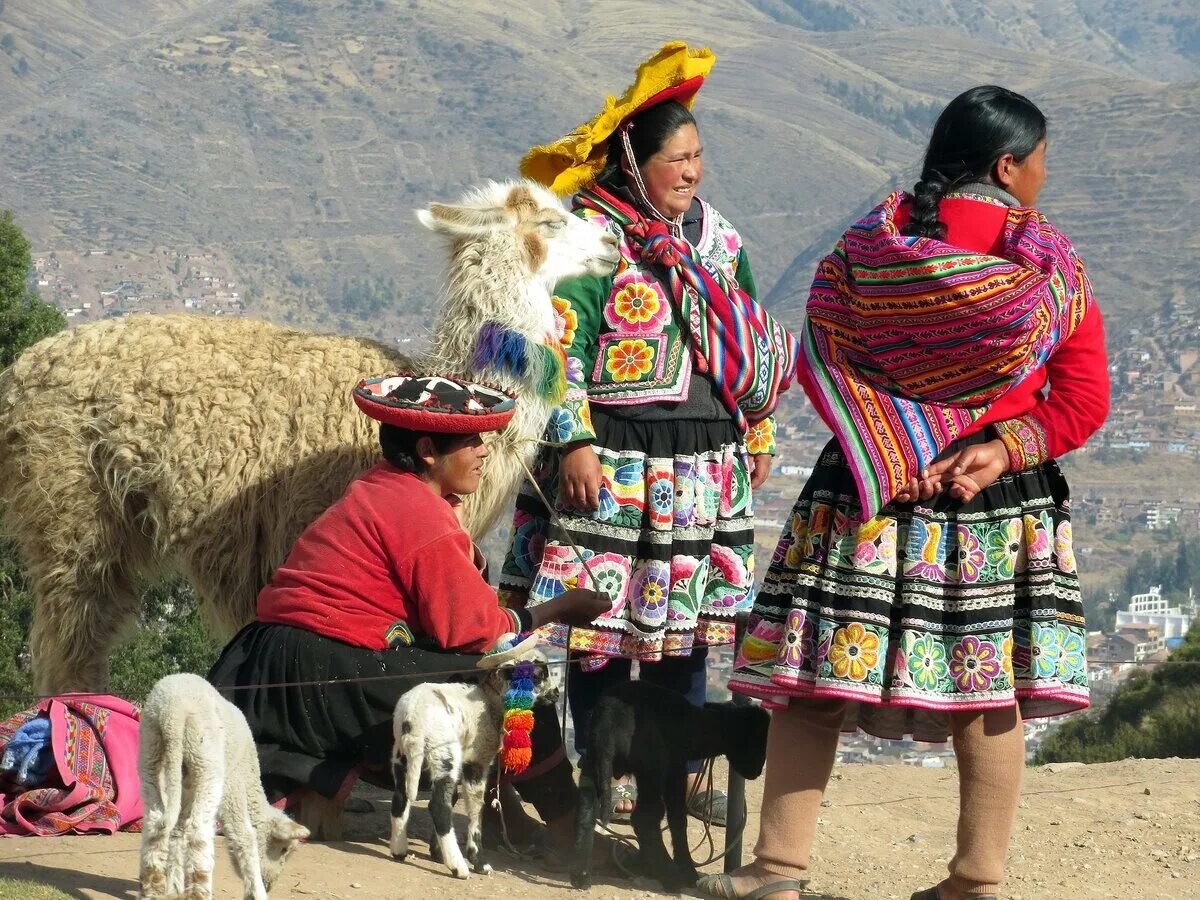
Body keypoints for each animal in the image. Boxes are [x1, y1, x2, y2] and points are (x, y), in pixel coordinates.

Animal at [571, 681, 768, 892]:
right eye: (758, 742)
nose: (756, 773)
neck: (697, 725)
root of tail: (608, 723)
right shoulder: (675, 767)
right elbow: (678, 818)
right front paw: (687, 871)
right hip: (652, 763)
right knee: (645, 818)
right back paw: (670, 877)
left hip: (592, 763)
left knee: (586, 812)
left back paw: (582, 875)